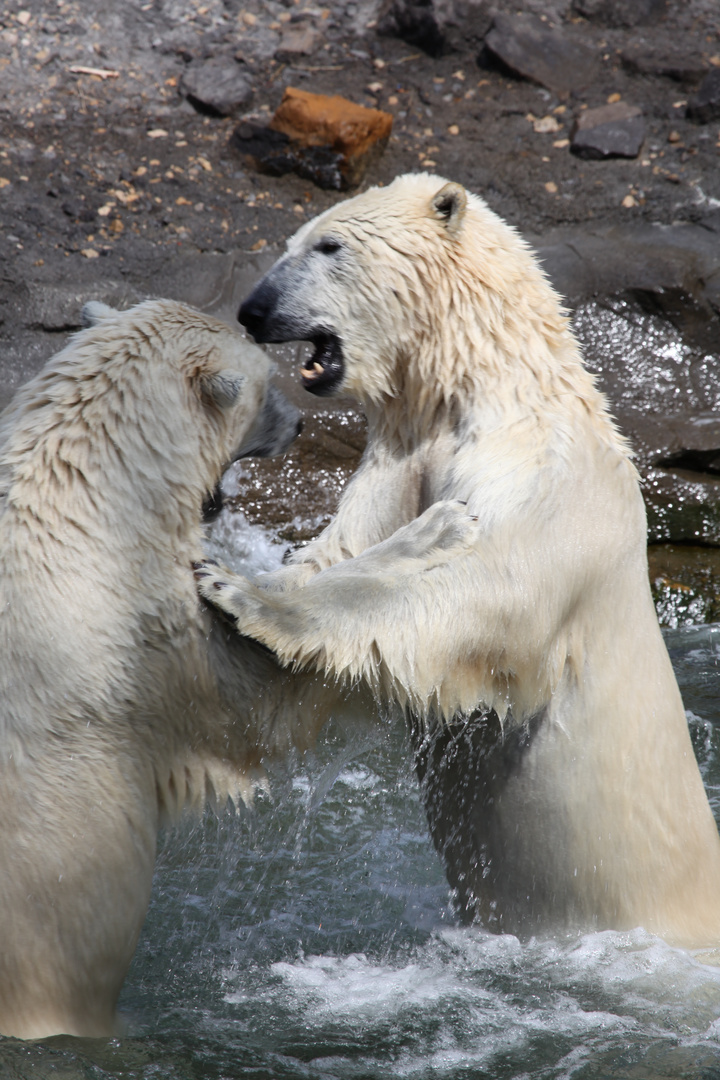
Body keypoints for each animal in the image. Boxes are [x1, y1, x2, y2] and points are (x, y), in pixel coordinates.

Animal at [197, 172, 720, 950]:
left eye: (329, 245)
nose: (253, 309)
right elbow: (344, 550)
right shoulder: (403, 457)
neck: (491, 387)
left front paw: (247, 596)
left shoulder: (544, 470)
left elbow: (493, 592)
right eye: (294, 240)